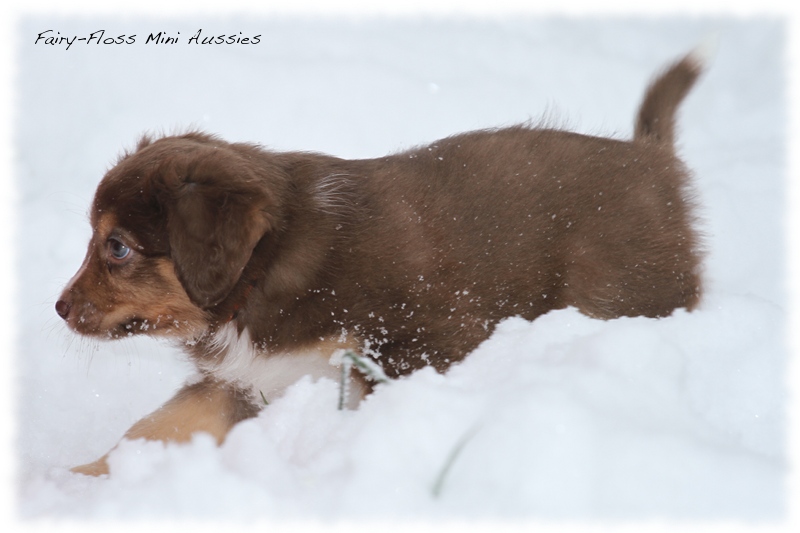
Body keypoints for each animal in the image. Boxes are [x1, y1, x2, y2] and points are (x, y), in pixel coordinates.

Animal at [56, 53, 704, 474]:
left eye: (117, 246)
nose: (58, 309)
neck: (262, 278)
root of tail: (652, 160)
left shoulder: (422, 341)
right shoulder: (244, 380)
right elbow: (150, 429)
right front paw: (73, 480)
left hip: (619, 295)